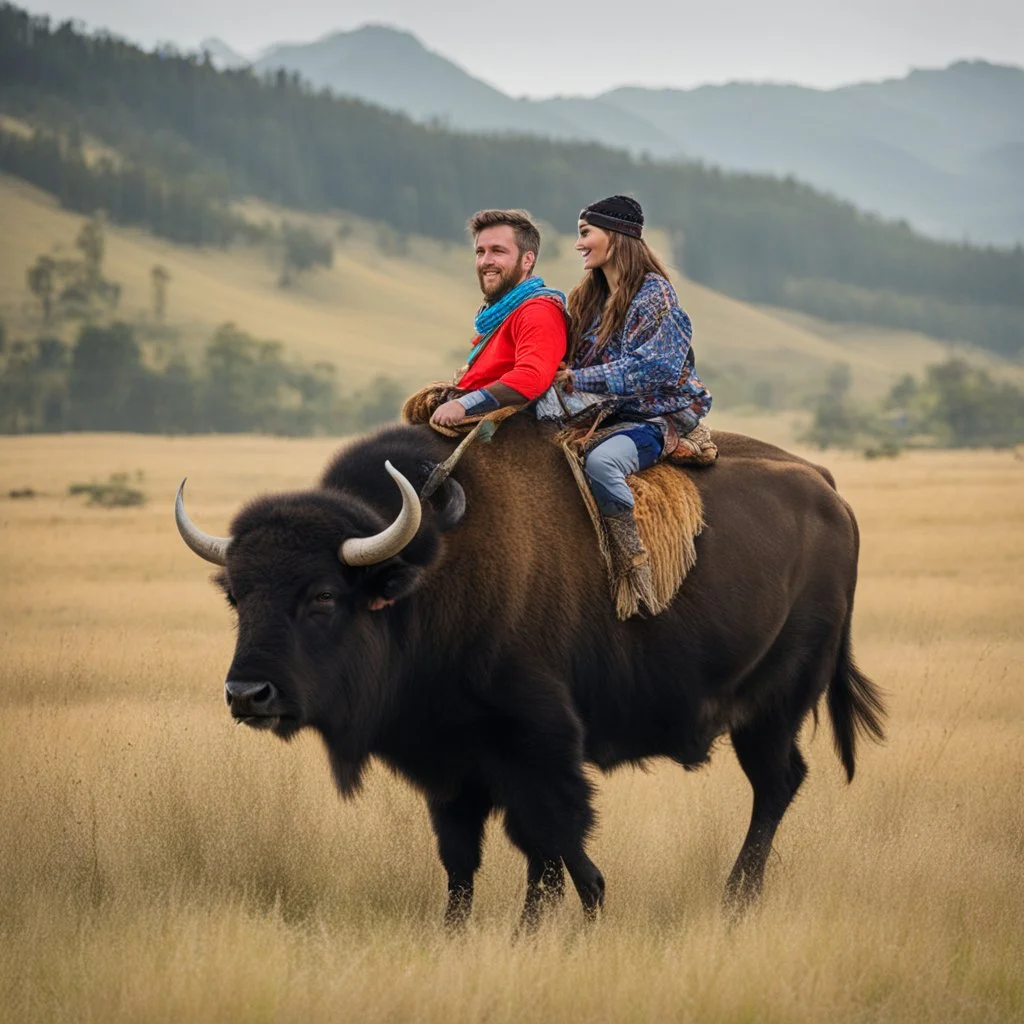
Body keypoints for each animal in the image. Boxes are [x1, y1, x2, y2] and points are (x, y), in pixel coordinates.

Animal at [174, 417, 880, 929]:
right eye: (237, 596)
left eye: (322, 595)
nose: (248, 693)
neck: (425, 578)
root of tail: (829, 491)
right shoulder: (451, 764)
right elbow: (465, 858)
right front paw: (459, 933)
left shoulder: (536, 748)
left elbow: (553, 841)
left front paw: (566, 922)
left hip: (774, 707)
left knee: (774, 785)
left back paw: (736, 900)